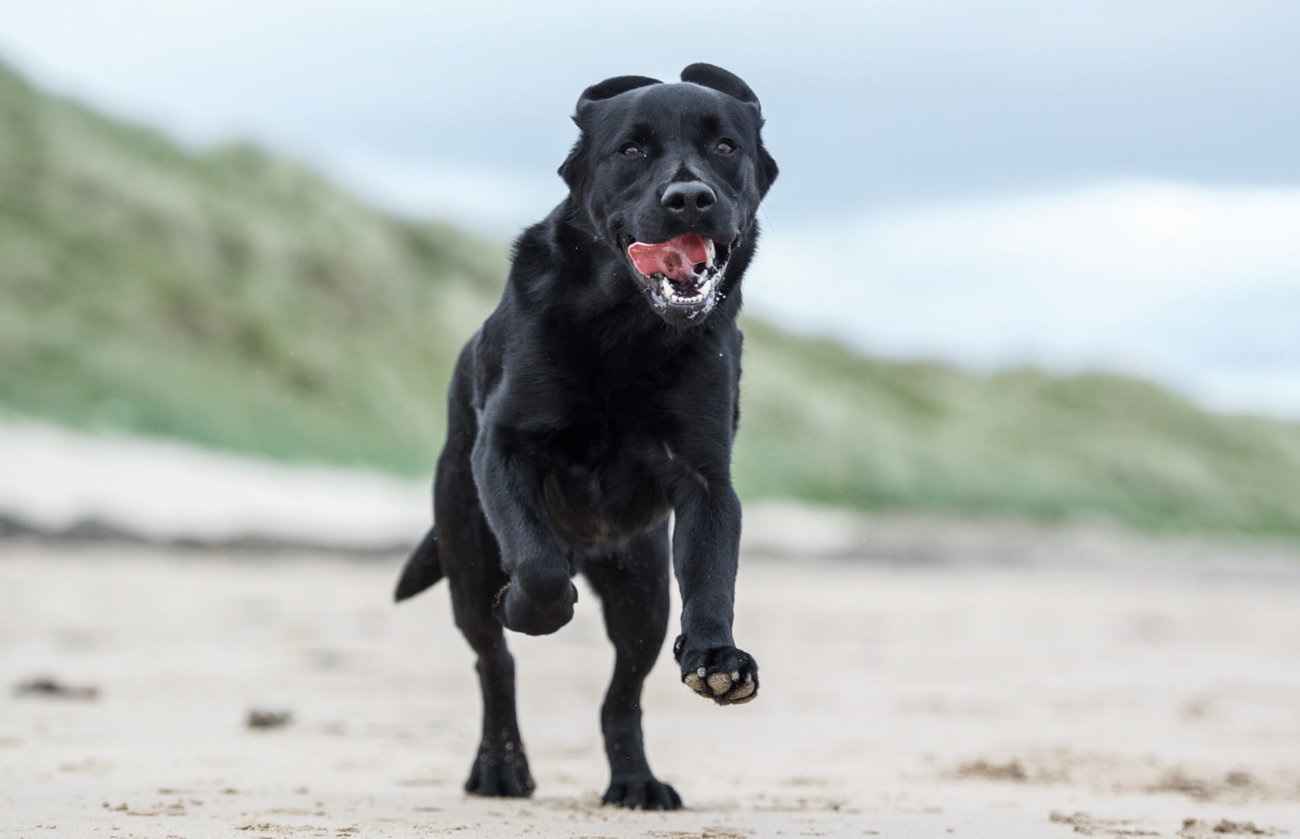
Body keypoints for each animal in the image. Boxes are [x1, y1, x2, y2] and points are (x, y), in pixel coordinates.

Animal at [395, 62, 774, 806]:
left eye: (725, 147)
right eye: (631, 149)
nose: (690, 199)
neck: (626, 331)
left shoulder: (706, 479)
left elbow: (714, 575)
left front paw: (717, 655)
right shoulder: (505, 448)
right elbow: (539, 570)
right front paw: (526, 604)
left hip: (643, 589)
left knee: (621, 695)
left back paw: (636, 780)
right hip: (466, 557)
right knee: (495, 664)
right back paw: (501, 766)